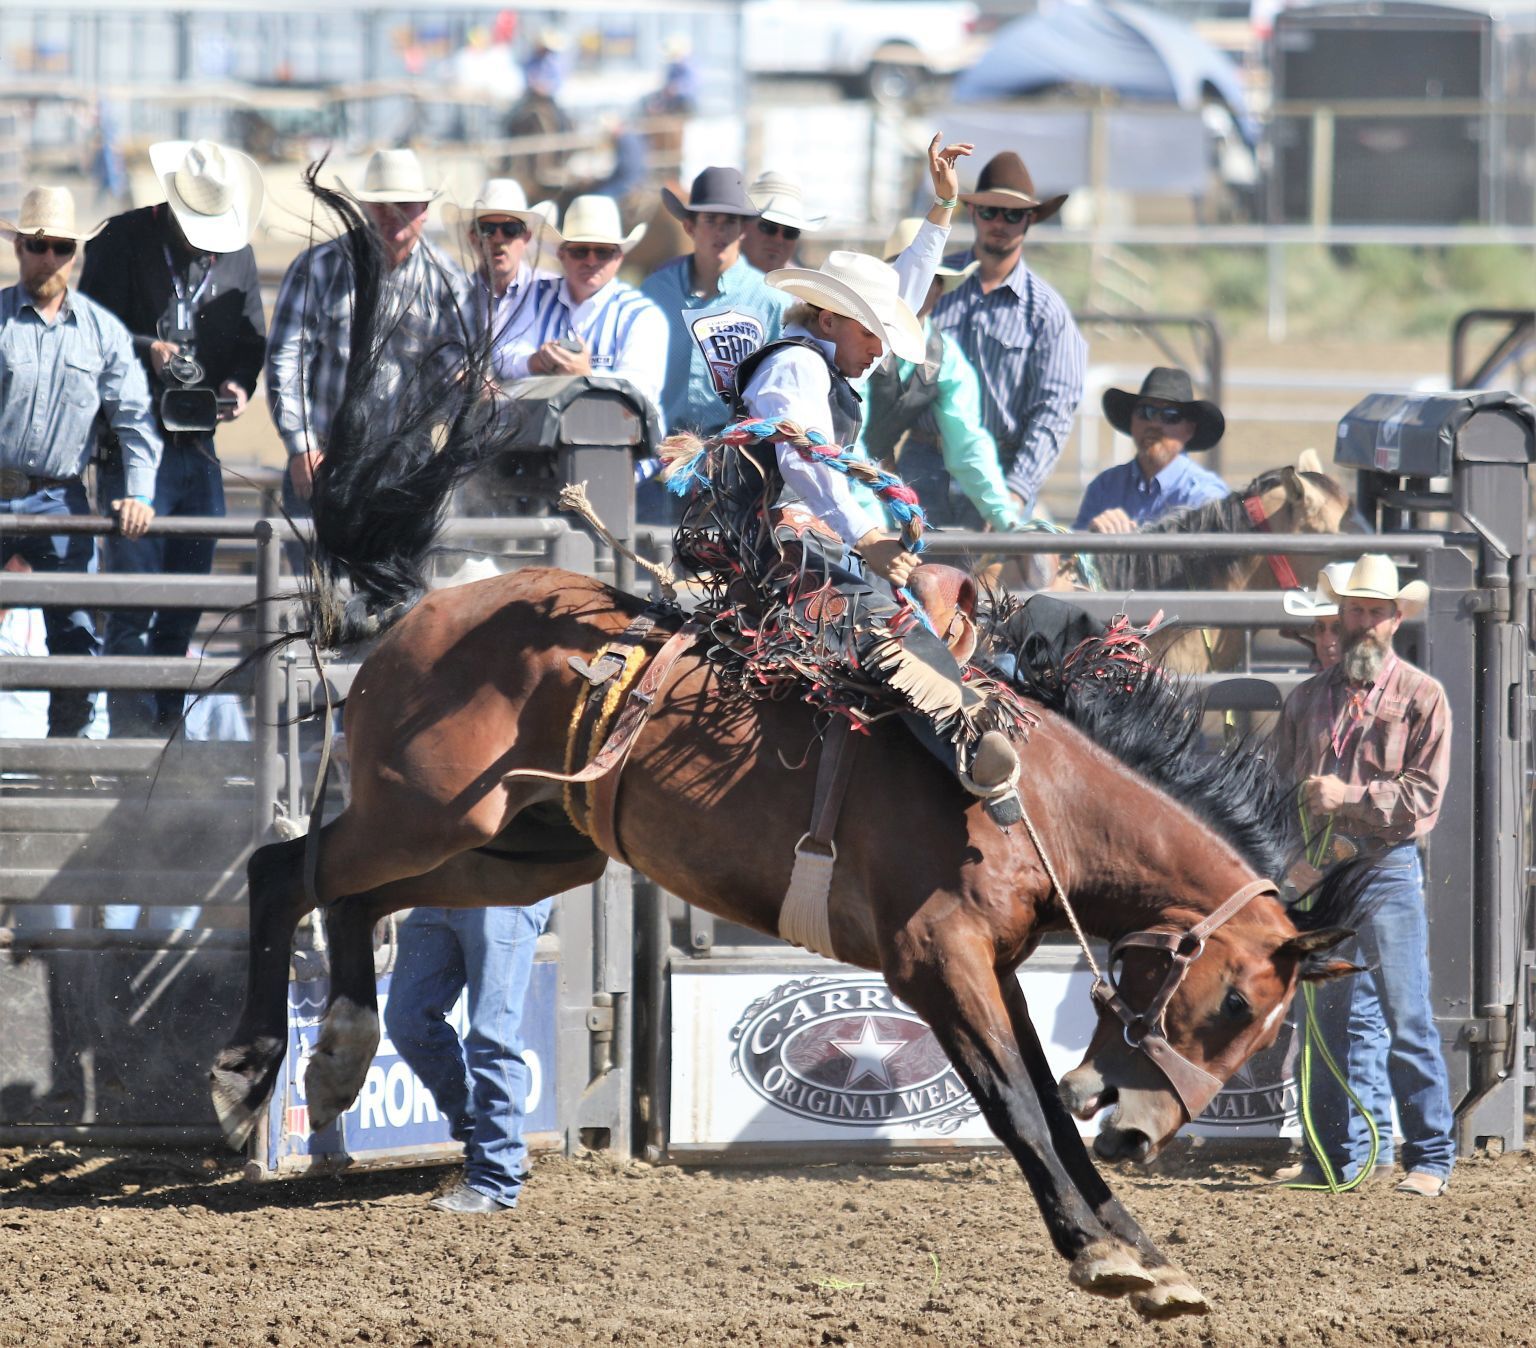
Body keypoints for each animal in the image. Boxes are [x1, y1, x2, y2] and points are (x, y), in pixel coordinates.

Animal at [204, 185, 1370, 1326]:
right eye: (1234, 1006)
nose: (1138, 1127)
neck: (1035, 800)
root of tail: (423, 605)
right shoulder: (934, 957)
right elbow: (1018, 1108)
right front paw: (1105, 1252)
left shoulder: (988, 965)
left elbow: (1043, 1099)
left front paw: (1143, 1252)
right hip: (430, 809)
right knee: (285, 869)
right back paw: (248, 1071)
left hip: (525, 846)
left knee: (350, 892)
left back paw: (338, 1057)